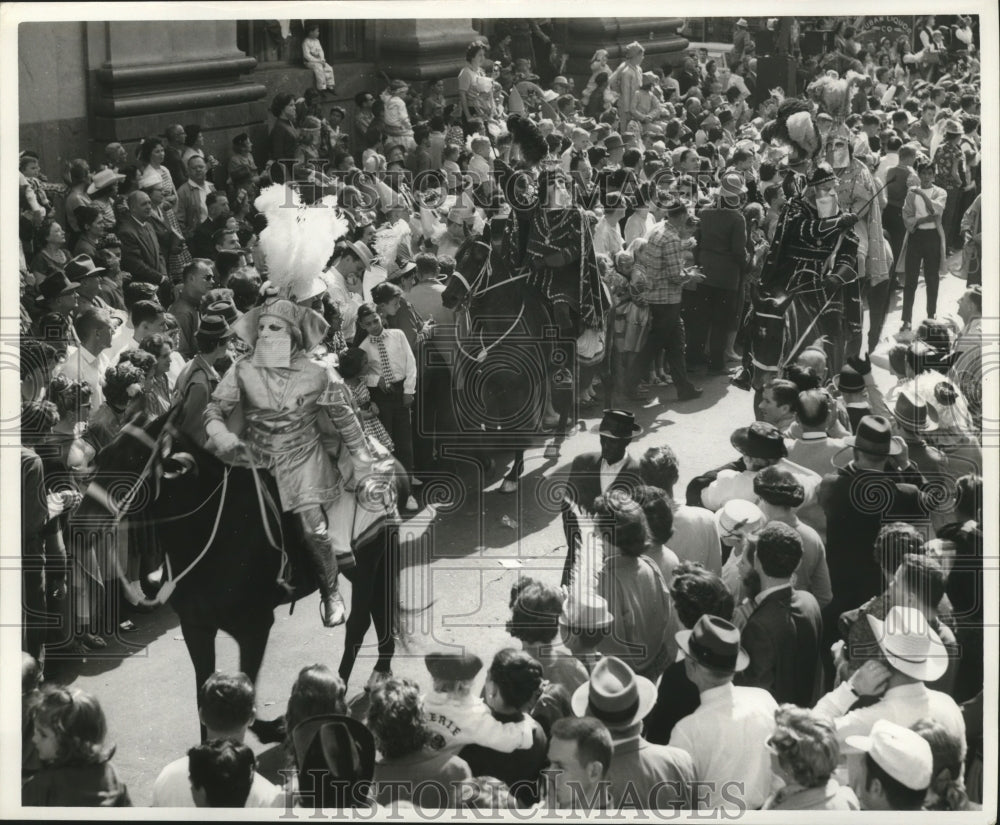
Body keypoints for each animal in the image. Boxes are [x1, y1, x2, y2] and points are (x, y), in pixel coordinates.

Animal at [70, 408, 408, 732]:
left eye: (133, 459)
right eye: (102, 456)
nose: (81, 524)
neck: (214, 533)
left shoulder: (254, 629)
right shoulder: (196, 628)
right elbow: (205, 703)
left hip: (368, 563)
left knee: (359, 623)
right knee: (379, 609)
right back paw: (379, 672)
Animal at [444, 219, 580, 490]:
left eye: (478, 258)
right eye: (457, 257)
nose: (448, 296)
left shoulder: (521, 389)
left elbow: (517, 427)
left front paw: (513, 474)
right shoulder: (486, 387)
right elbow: (477, 426)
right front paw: (487, 462)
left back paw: (557, 439)